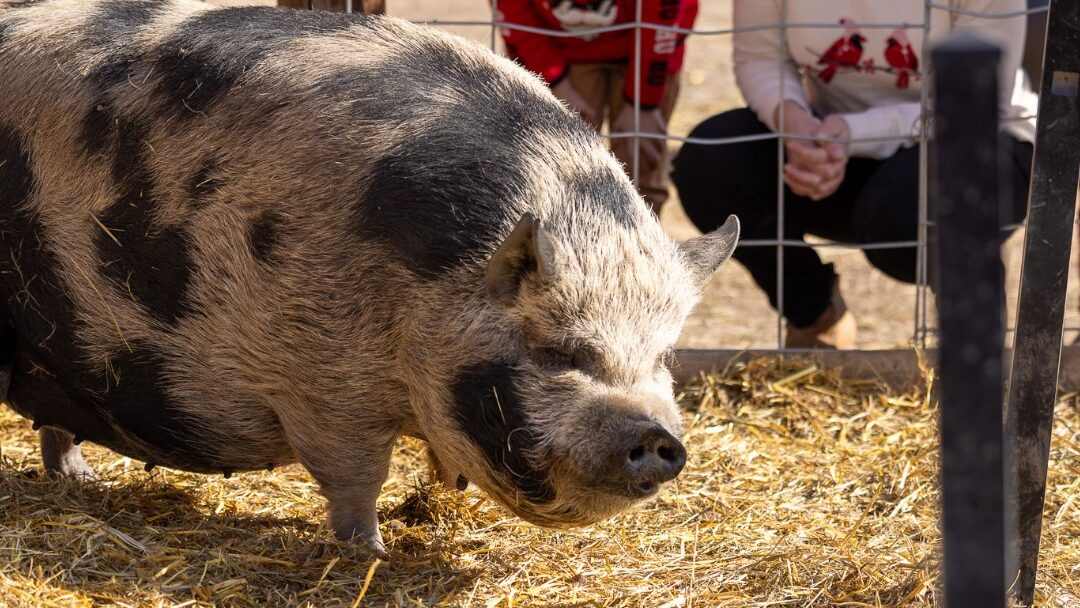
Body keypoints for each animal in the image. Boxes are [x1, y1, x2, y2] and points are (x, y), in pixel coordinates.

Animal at [0, 0, 739, 555]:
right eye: (559, 350)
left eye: (664, 356)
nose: (657, 437)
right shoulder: (322, 381)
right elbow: (357, 477)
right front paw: (371, 554)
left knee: (55, 423)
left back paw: (83, 481)